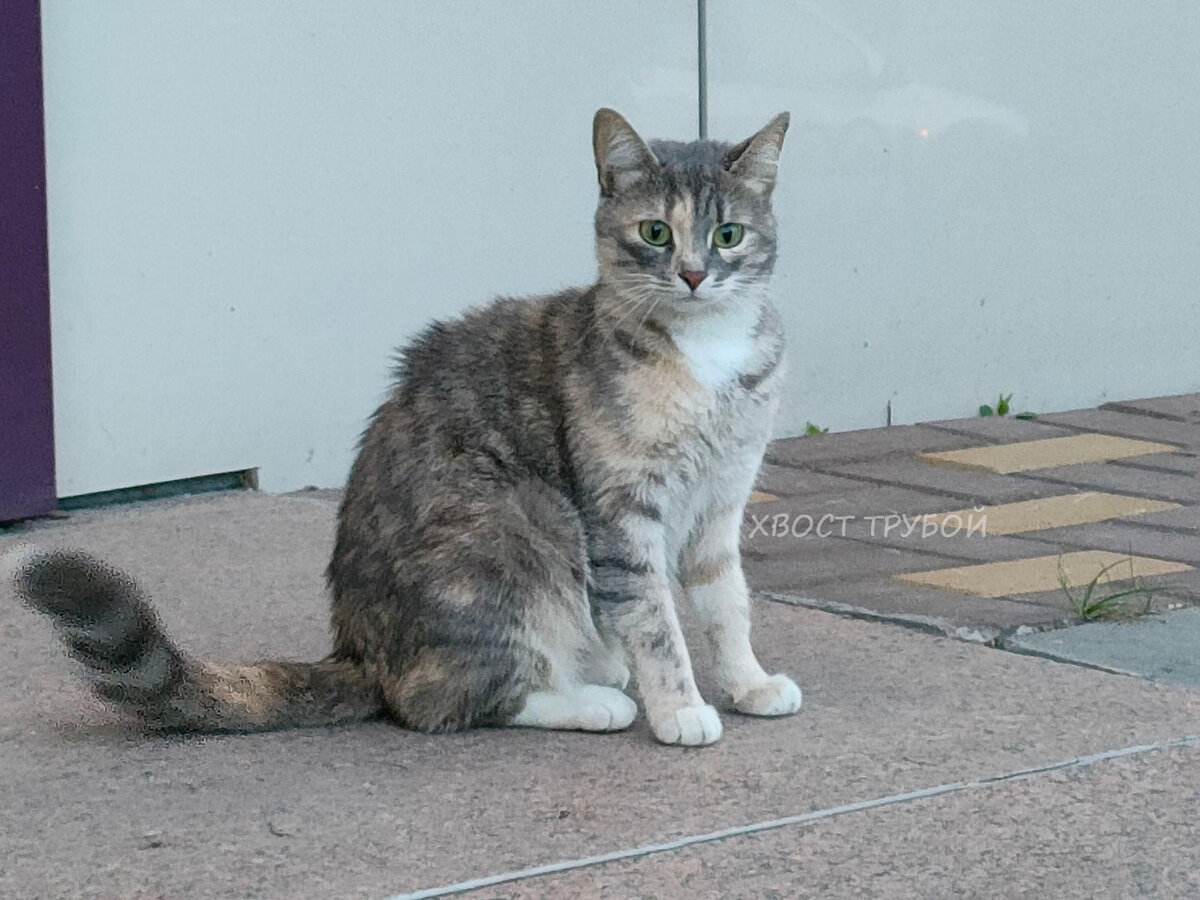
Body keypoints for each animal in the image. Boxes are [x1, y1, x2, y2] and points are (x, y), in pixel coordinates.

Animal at [9, 109, 801, 748]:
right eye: (655, 232)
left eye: (728, 233)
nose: (694, 273)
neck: (705, 355)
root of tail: (359, 653)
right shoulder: (621, 514)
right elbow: (655, 623)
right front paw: (682, 708)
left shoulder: (721, 502)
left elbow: (726, 603)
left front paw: (748, 682)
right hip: (520, 526)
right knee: (438, 702)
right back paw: (593, 700)